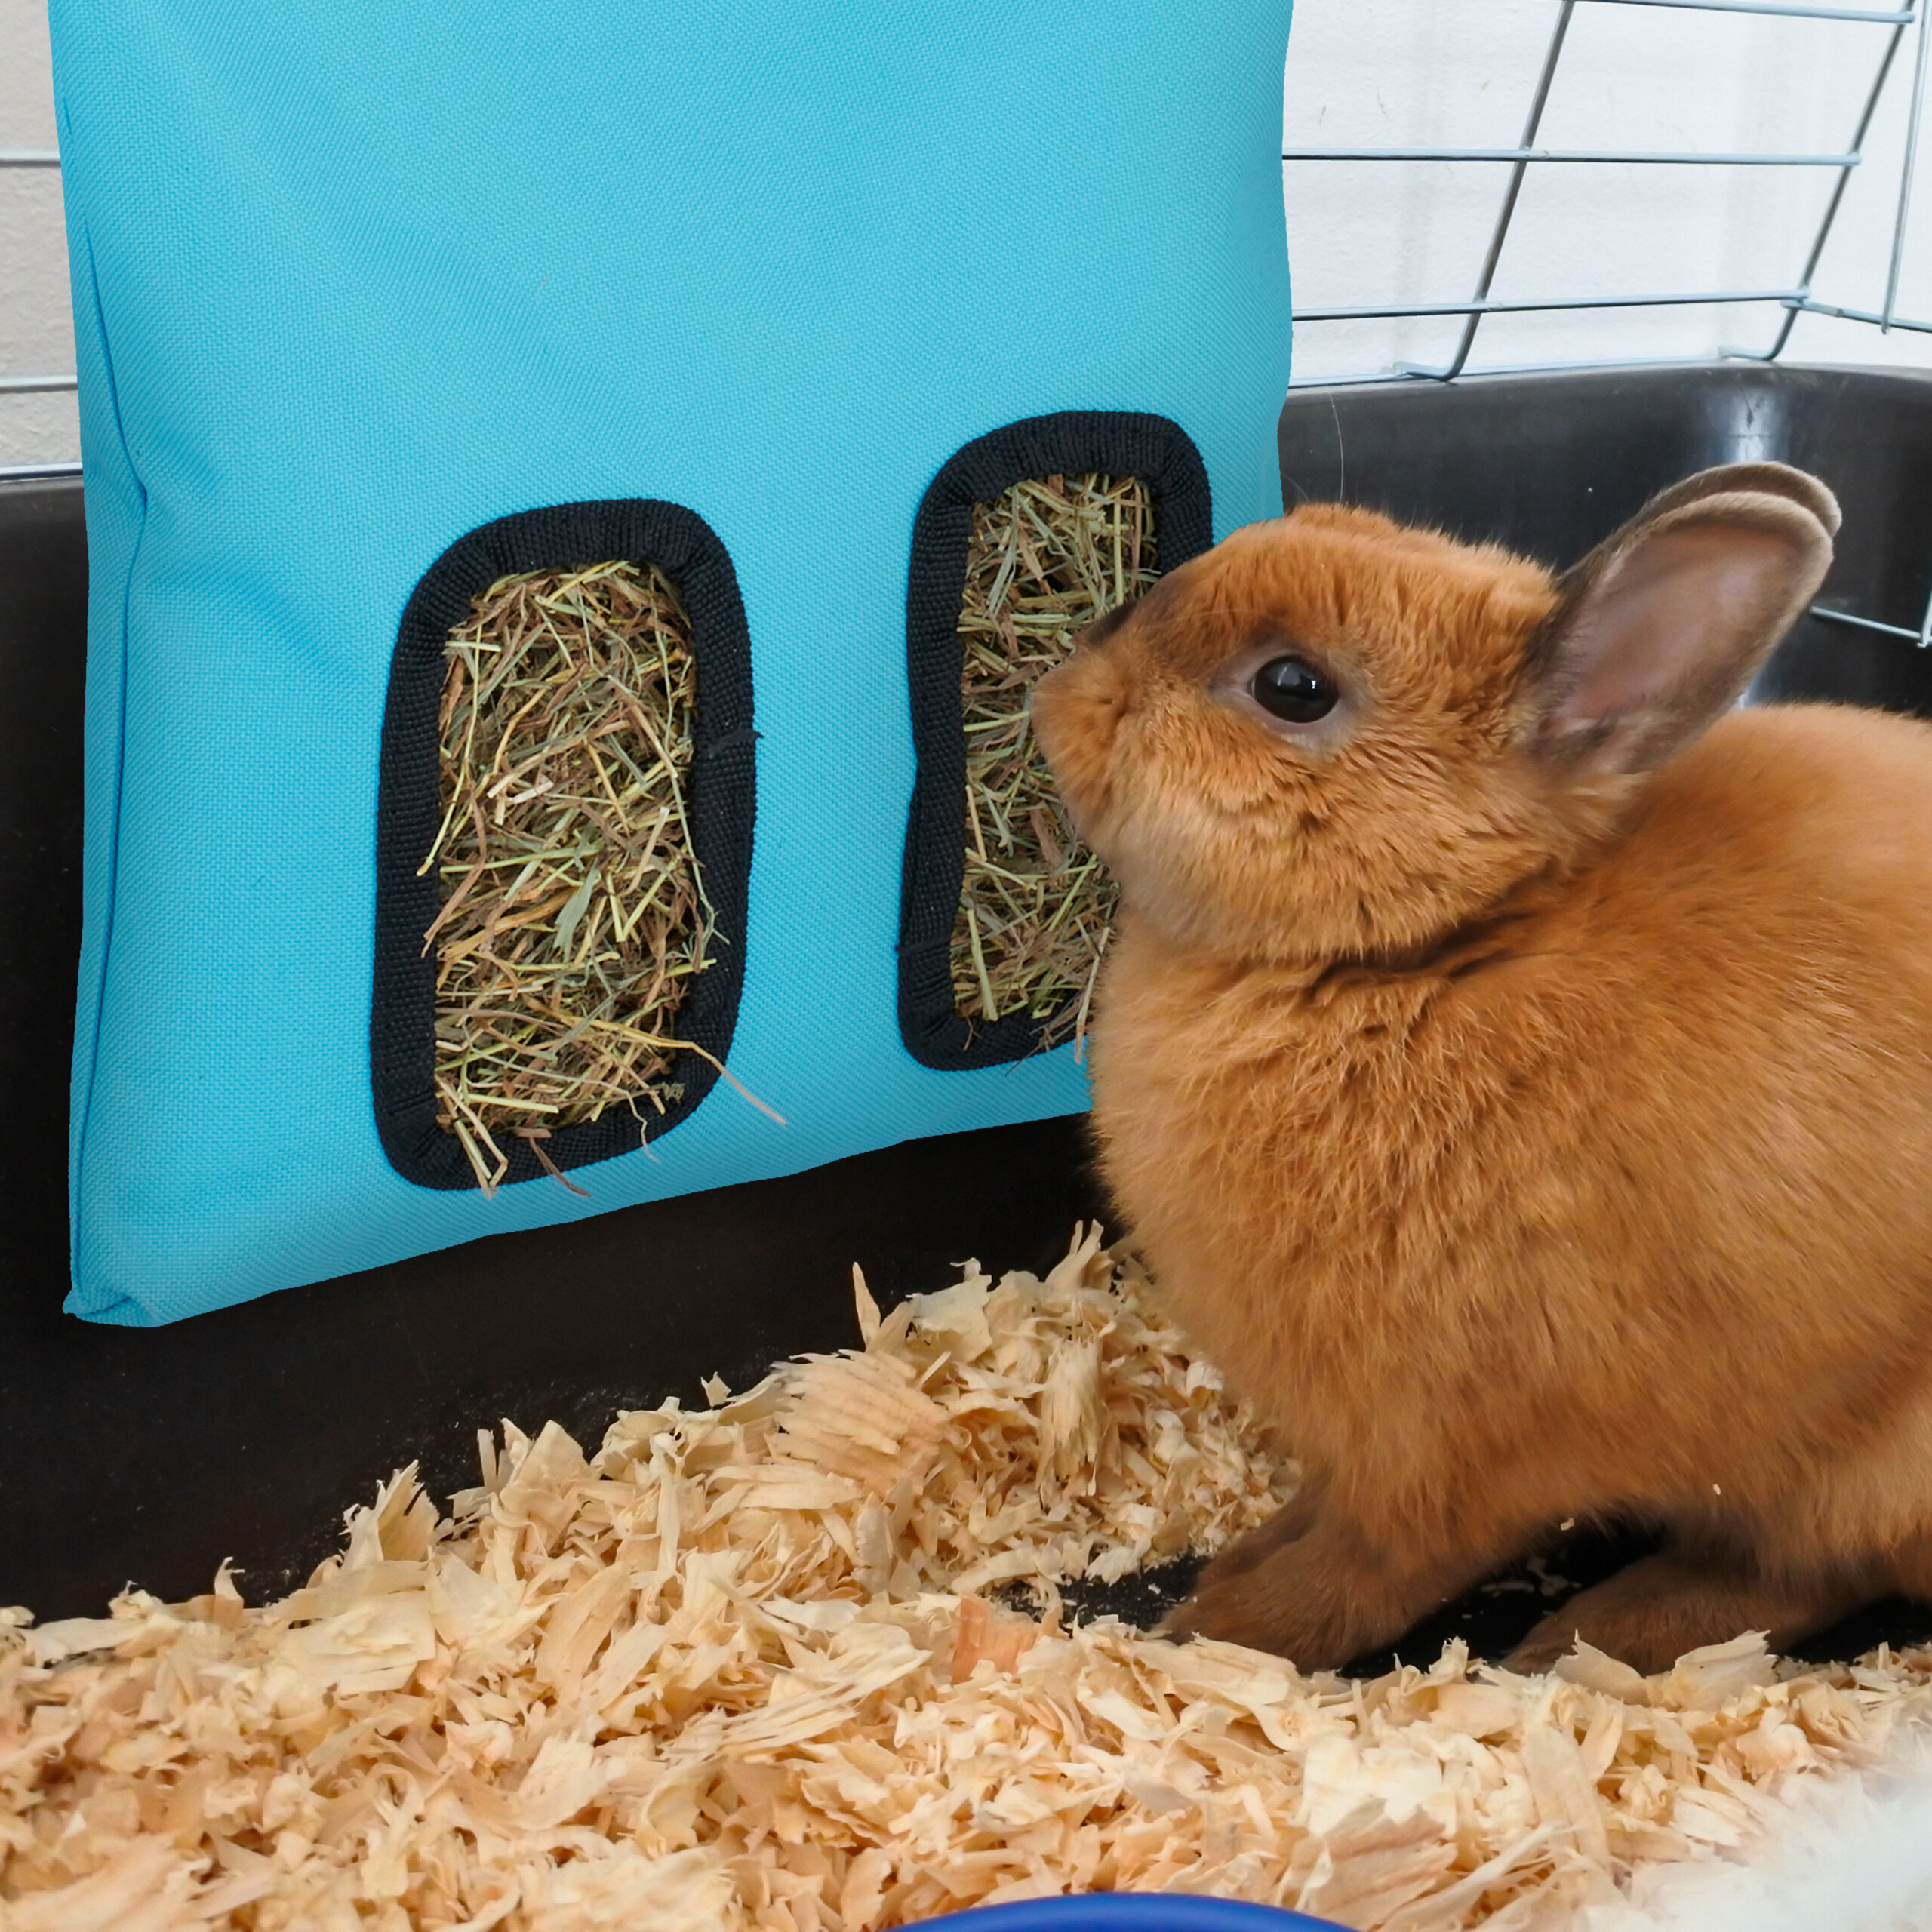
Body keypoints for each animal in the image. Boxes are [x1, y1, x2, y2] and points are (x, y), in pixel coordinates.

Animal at [1029, 462, 1932, 1676]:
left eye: (1292, 686)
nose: (1069, 672)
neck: (1431, 952)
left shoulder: (1449, 1457)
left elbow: (1366, 1569)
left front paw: (1220, 1627)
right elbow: (1320, 1513)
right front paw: (1242, 1554)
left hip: (1869, 1469)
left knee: (1802, 1573)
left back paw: (1585, 1636)